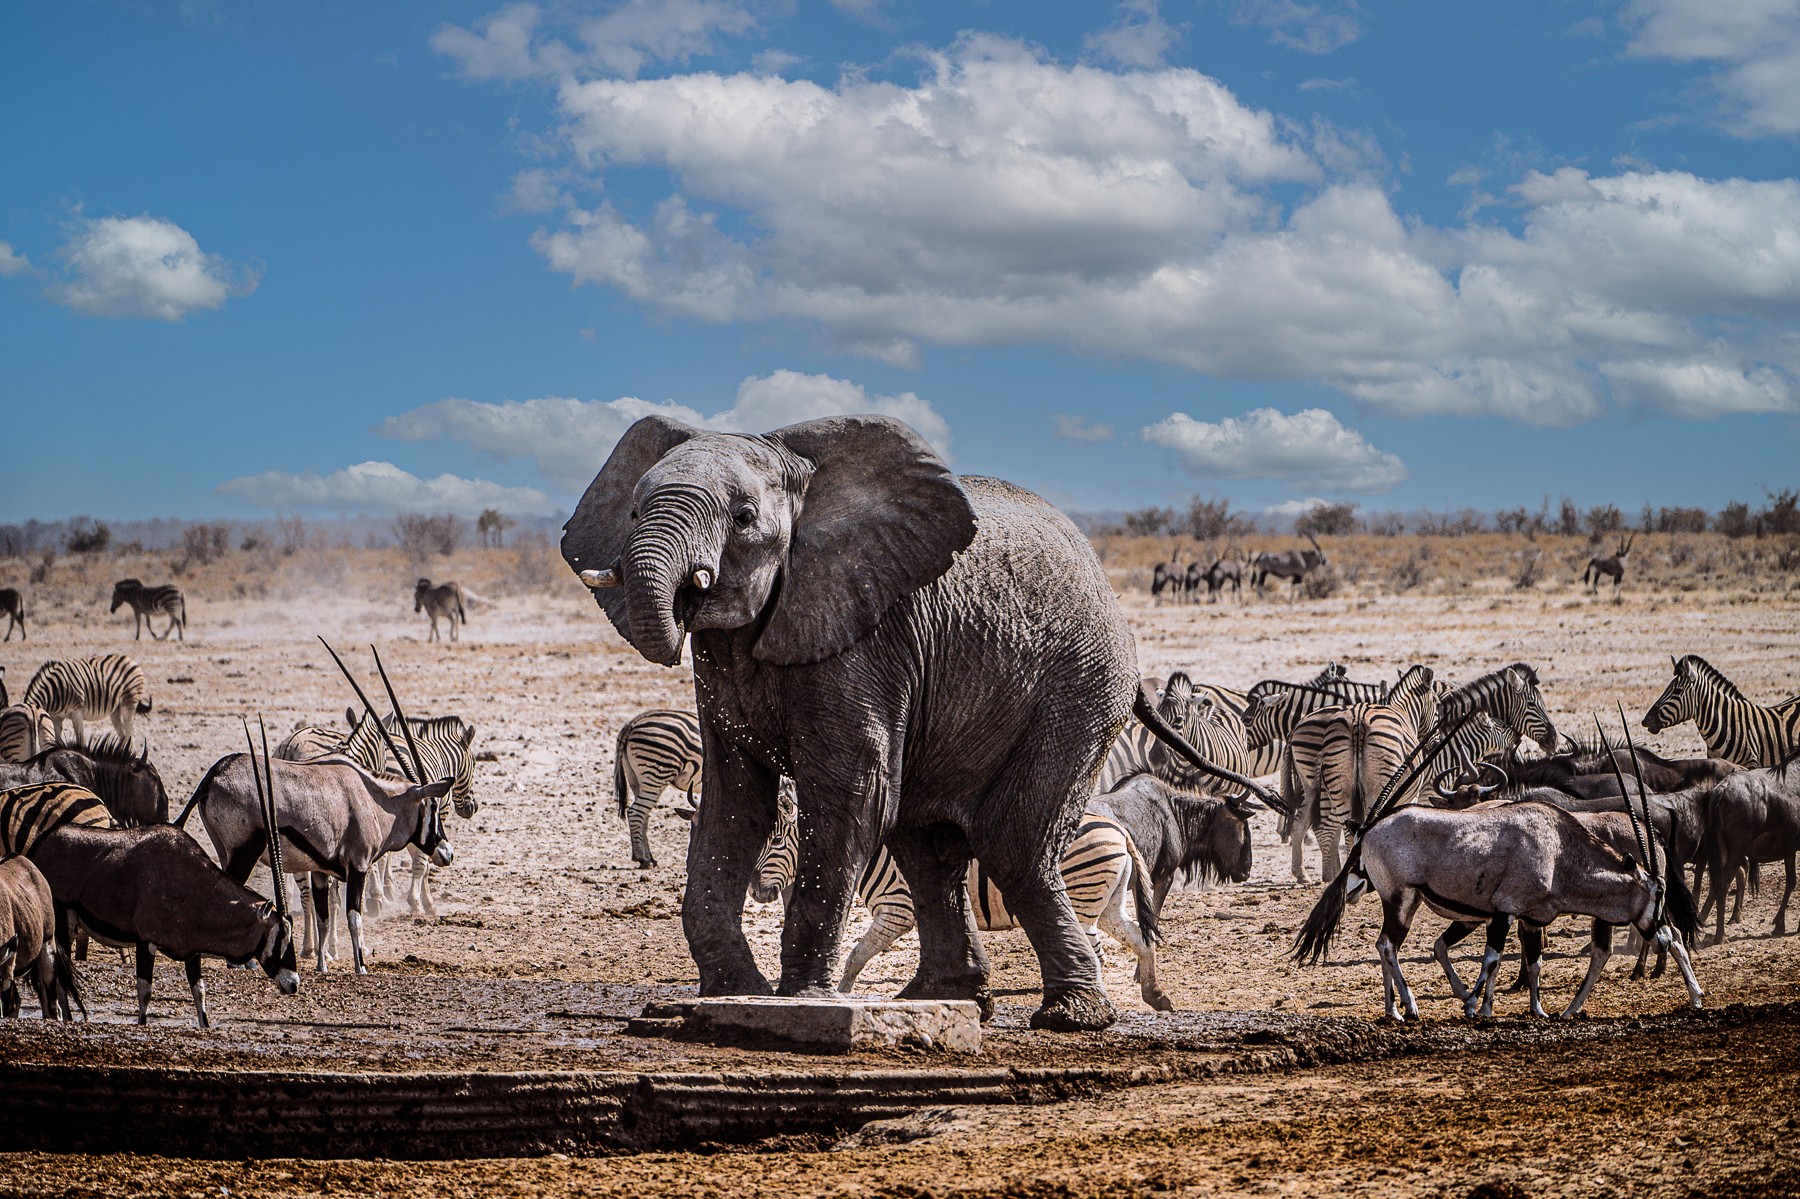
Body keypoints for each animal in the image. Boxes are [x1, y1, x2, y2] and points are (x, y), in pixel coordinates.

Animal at [21, 655, 152, 747]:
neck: (54, 690)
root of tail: (130, 660)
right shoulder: (56, 717)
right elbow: (57, 742)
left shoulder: (76, 713)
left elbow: (81, 742)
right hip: (115, 710)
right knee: (124, 737)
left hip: (129, 702)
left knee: (130, 737)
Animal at [613, 708, 702, 868]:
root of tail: (632, 722)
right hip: (657, 772)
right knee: (635, 812)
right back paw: (641, 857)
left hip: (636, 777)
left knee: (644, 815)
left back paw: (649, 858)